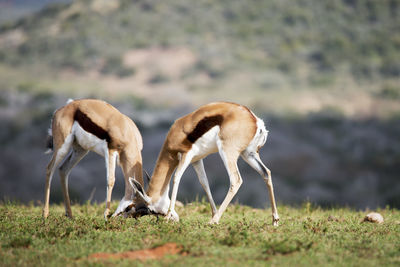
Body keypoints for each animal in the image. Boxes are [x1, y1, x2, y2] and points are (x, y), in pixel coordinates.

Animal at [127, 102, 278, 226]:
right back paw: (274, 220)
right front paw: (213, 212)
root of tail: (255, 120)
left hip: (227, 152)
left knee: (236, 180)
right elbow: (204, 182)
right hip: (249, 154)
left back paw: (214, 221)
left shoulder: (186, 155)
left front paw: (168, 216)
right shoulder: (197, 160)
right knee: (266, 172)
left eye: (151, 210)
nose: (175, 218)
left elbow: (176, 178)